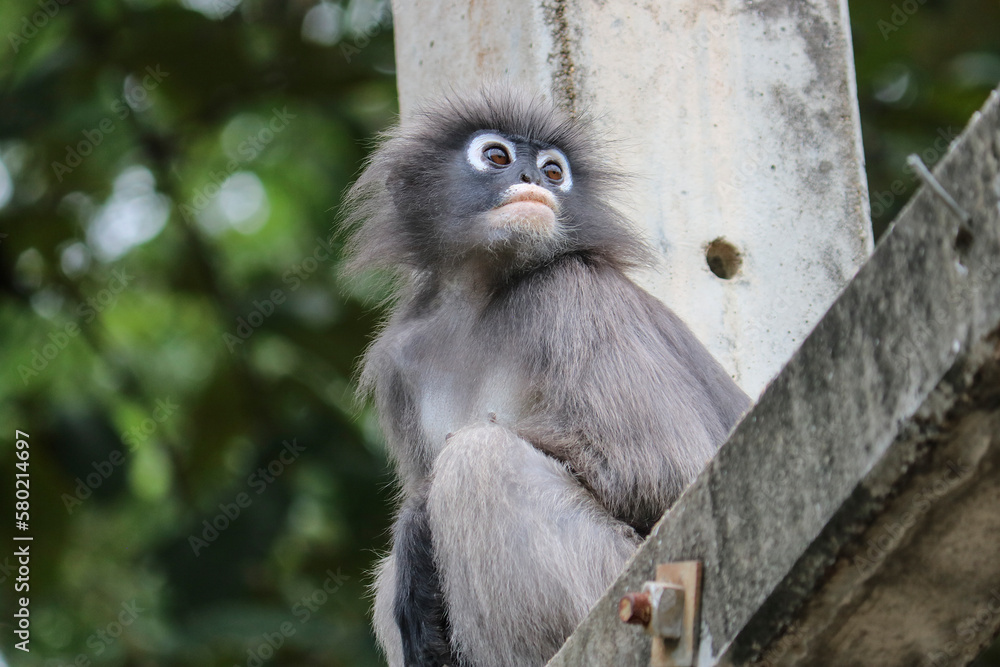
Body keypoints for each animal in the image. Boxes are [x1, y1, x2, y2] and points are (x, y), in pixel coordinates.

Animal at [342, 88, 751, 667]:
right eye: (497, 156)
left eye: (554, 170)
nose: (534, 178)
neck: (480, 297)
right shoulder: (399, 357)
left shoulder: (572, 289)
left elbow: (666, 471)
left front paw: (416, 526)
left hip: (618, 582)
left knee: (479, 458)